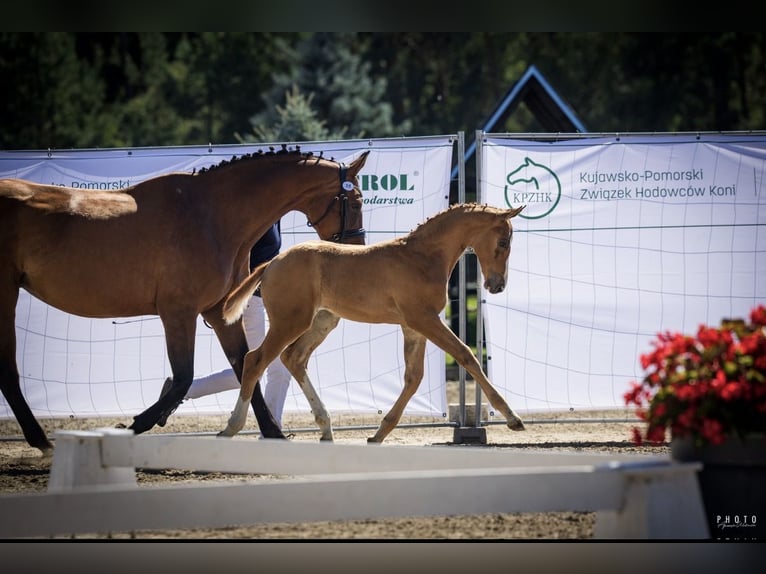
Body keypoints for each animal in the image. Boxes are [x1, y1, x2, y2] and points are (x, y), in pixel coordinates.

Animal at [0, 146, 369, 455]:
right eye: (357, 202)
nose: (355, 252)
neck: (212, 216)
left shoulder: (220, 314)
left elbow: (244, 365)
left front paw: (273, 433)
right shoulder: (179, 312)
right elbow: (184, 377)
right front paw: (132, 425)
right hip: (6, 294)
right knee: (8, 372)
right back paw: (43, 441)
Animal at [217, 202, 527, 443]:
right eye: (503, 242)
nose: (497, 285)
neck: (422, 257)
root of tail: (271, 263)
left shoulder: (413, 326)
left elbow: (414, 377)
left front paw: (379, 433)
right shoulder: (424, 319)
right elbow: (466, 355)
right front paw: (512, 417)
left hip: (322, 321)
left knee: (294, 358)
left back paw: (326, 428)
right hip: (290, 321)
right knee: (255, 360)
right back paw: (232, 427)